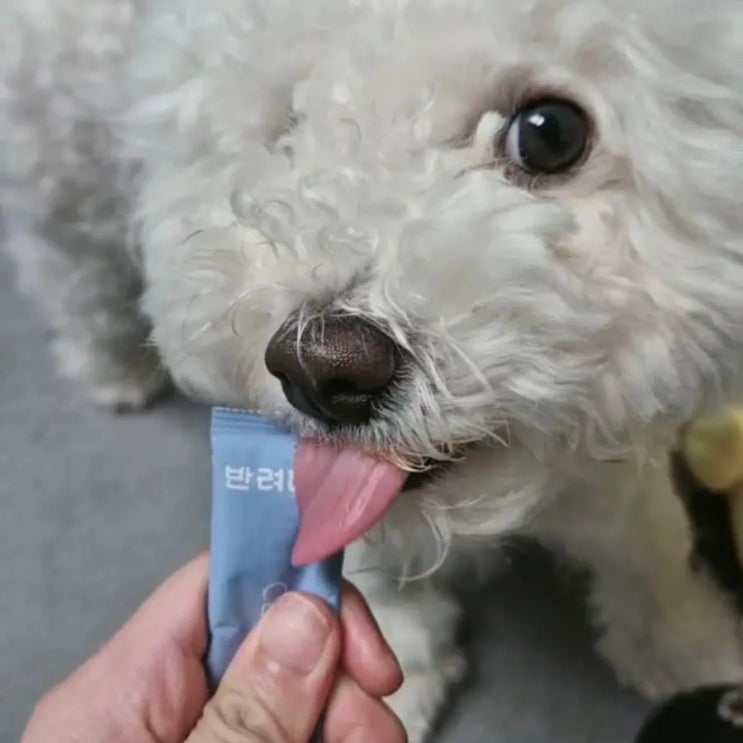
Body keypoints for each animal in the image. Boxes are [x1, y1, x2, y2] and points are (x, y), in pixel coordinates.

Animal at [4, 0, 743, 739]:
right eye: (290, 126)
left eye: (551, 131)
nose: (320, 369)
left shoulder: (614, 448)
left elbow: (648, 540)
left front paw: (686, 641)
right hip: (54, 160)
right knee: (67, 263)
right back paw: (114, 365)